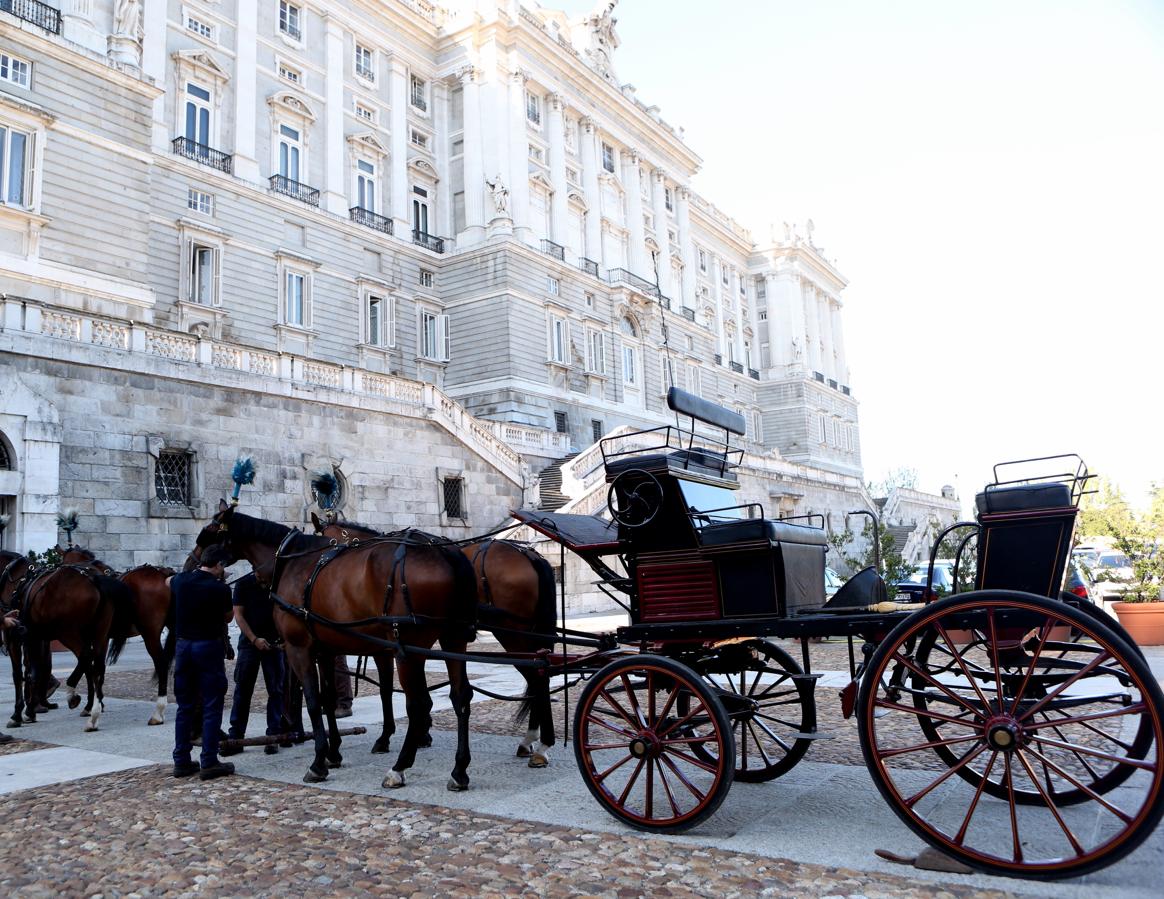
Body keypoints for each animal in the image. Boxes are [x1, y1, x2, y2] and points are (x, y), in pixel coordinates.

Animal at [193, 503, 479, 791]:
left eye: (209, 532)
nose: (193, 565)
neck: (293, 561)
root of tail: (444, 550)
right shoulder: (327, 650)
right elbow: (328, 699)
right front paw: (333, 753)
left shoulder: (299, 649)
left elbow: (312, 701)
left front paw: (319, 761)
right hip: (452, 640)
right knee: (460, 696)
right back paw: (459, 770)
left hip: (409, 650)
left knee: (419, 703)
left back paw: (400, 767)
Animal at [314, 512, 558, 763]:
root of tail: (529, 554)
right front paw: (422, 733)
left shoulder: (389, 649)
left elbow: (388, 691)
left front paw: (391, 736)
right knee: (540, 675)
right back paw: (532, 741)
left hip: (510, 633)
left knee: (537, 678)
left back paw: (538, 743)